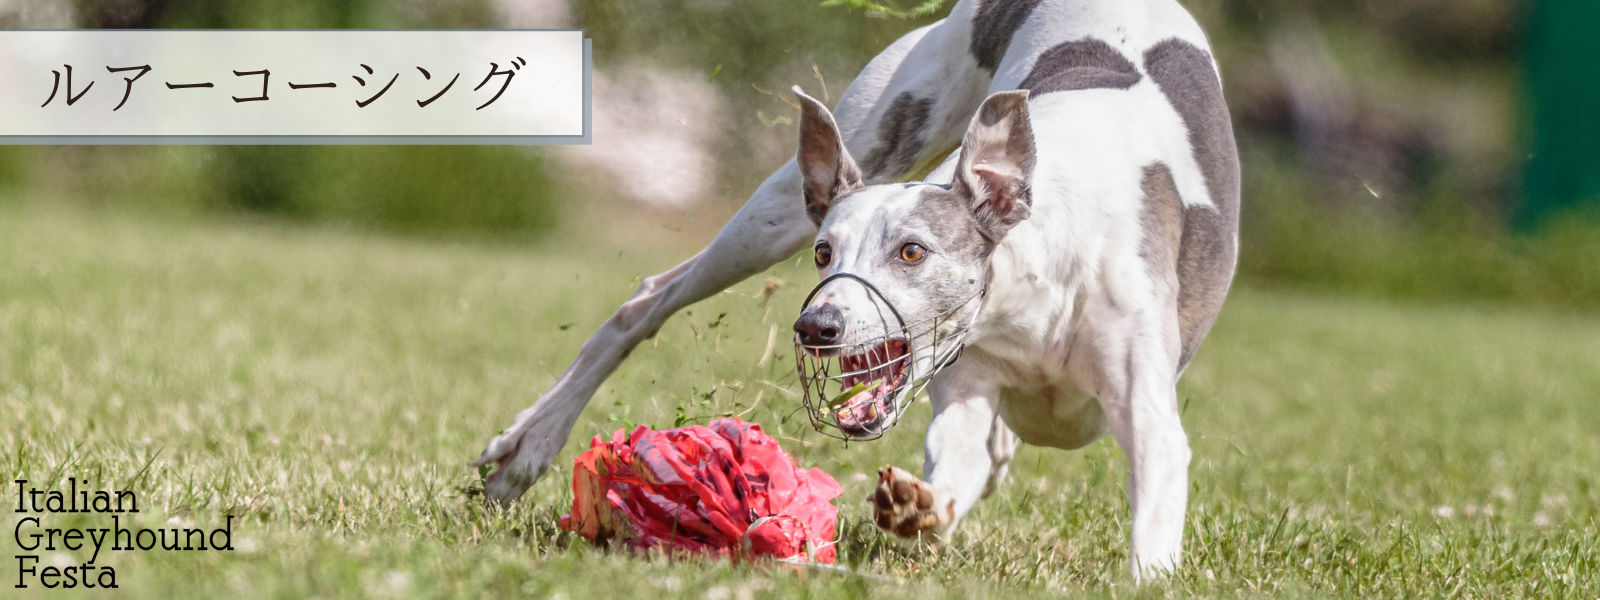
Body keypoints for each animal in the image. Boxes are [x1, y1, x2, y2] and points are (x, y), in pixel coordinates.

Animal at [473, 1, 1235, 582]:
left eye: (912, 252)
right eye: (824, 254)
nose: (818, 327)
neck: (1034, 284)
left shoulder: (1146, 415)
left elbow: (1150, 490)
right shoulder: (967, 385)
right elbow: (956, 456)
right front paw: (918, 507)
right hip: (823, 172)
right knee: (651, 297)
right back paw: (526, 448)